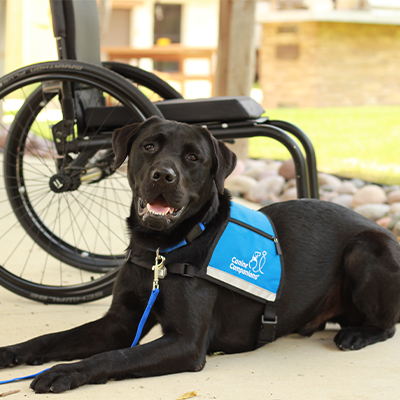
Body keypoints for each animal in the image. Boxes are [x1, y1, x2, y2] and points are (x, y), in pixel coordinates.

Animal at [0, 116, 400, 394]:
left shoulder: (187, 343)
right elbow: (52, 338)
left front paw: (64, 372)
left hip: (366, 250)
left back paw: (357, 335)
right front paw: (10, 352)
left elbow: (114, 356)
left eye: (193, 157)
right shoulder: (120, 322)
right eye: (148, 147)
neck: (161, 249)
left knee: (387, 325)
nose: (164, 176)